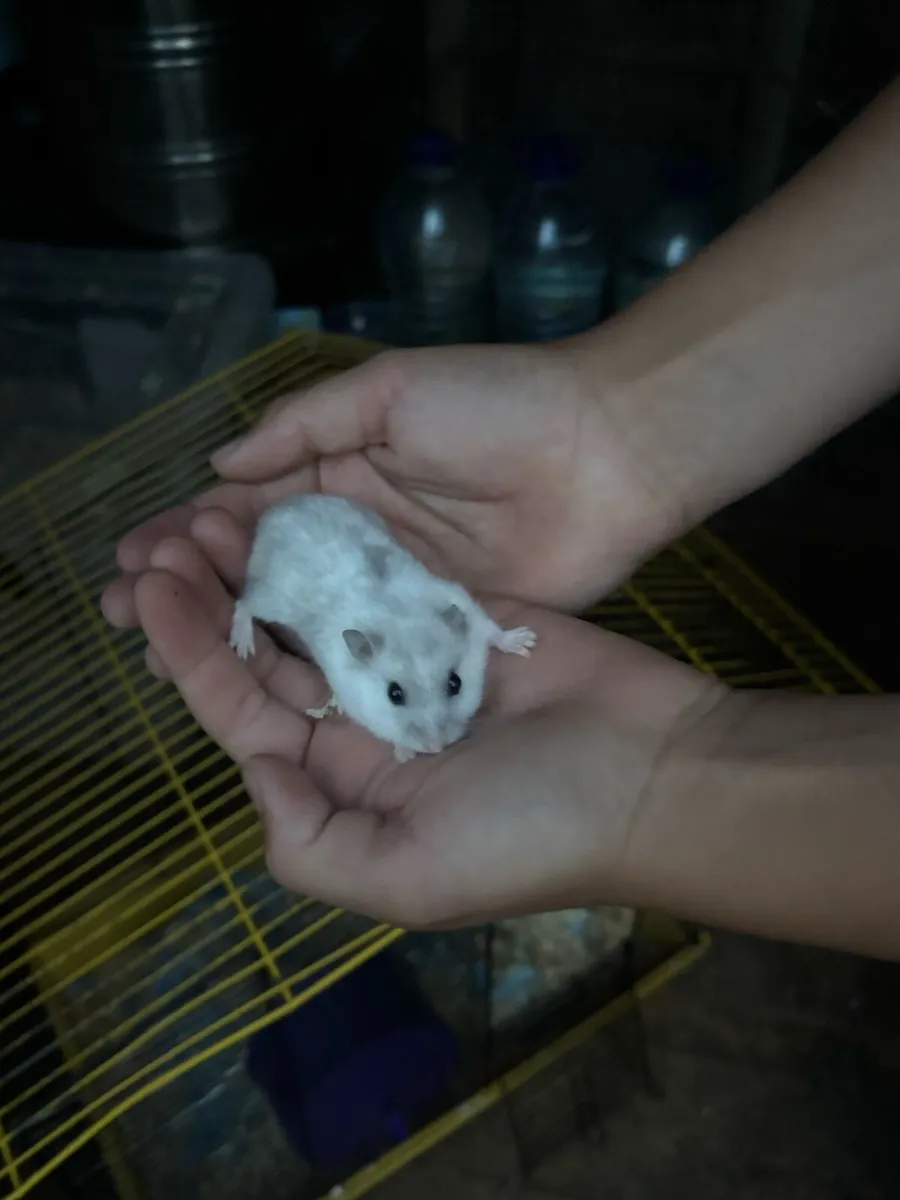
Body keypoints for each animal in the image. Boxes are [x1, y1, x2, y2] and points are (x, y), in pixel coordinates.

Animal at [228, 495, 536, 762]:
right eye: (394, 695)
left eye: (456, 683)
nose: (436, 748)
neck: (397, 615)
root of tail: (275, 511)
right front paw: (404, 755)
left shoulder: (461, 601)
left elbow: (491, 630)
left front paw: (526, 642)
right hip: (272, 598)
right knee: (244, 604)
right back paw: (243, 648)